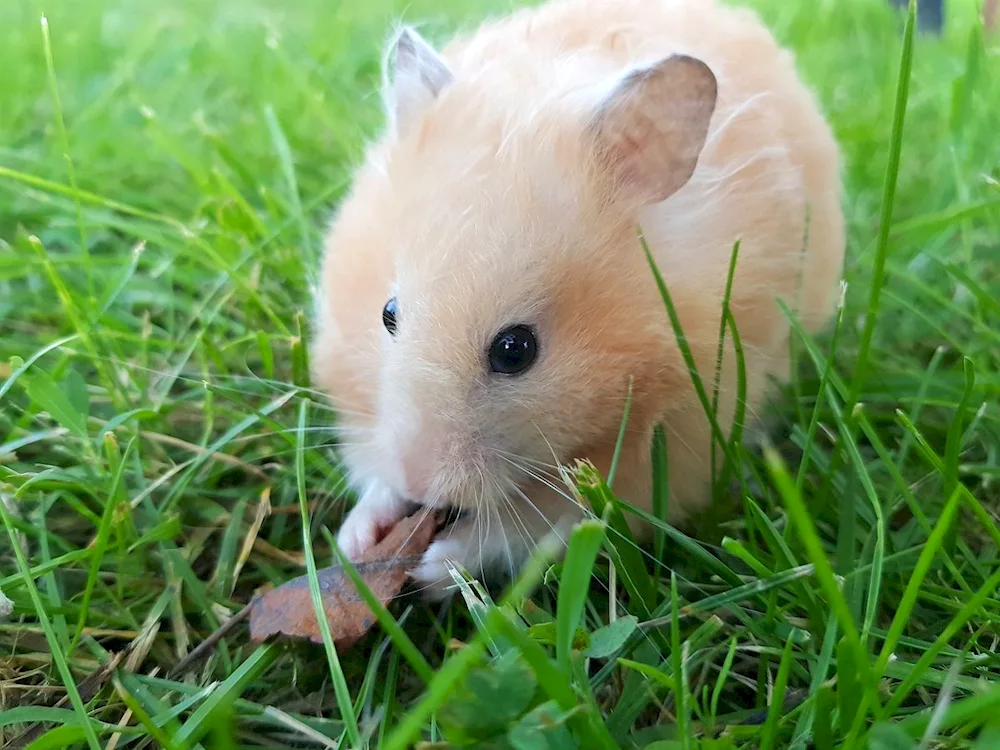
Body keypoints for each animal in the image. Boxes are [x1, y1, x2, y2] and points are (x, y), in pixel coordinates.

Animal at [310, 0, 844, 604]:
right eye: (388, 315)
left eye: (516, 350)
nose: (419, 483)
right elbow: (371, 475)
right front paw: (355, 540)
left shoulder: (670, 447)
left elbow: (532, 527)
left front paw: (434, 567)